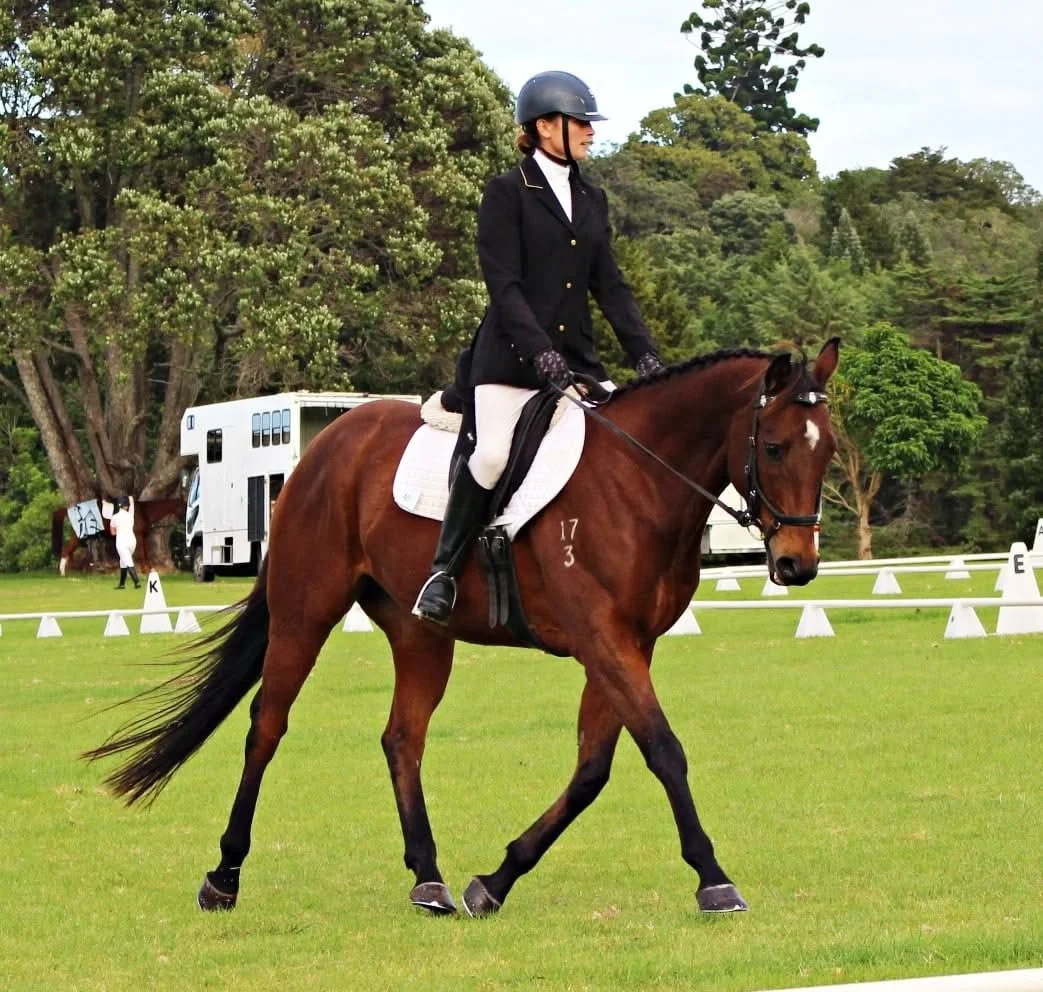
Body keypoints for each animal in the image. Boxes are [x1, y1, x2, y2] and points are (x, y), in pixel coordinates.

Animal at [52, 497, 186, 575]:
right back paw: (63, 571)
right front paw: (144, 570)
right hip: (79, 534)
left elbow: (145, 553)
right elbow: (141, 553)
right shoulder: (138, 535)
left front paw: (149, 569)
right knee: (67, 548)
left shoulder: (142, 536)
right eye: (184, 507)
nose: (185, 521)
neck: (144, 511)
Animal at [85, 341, 839, 918]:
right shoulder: (603, 639)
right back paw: (224, 877)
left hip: (421, 631)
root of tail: (325, 445)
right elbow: (662, 750)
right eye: (774, 447)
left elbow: (593, 769)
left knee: (402, 738)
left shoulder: (628, 645)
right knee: (266, 726)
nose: (796, 566)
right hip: (305, 611)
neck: (637, 483)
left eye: (828, 450)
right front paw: (714, 879)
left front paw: (495, 881)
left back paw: (430, 881)